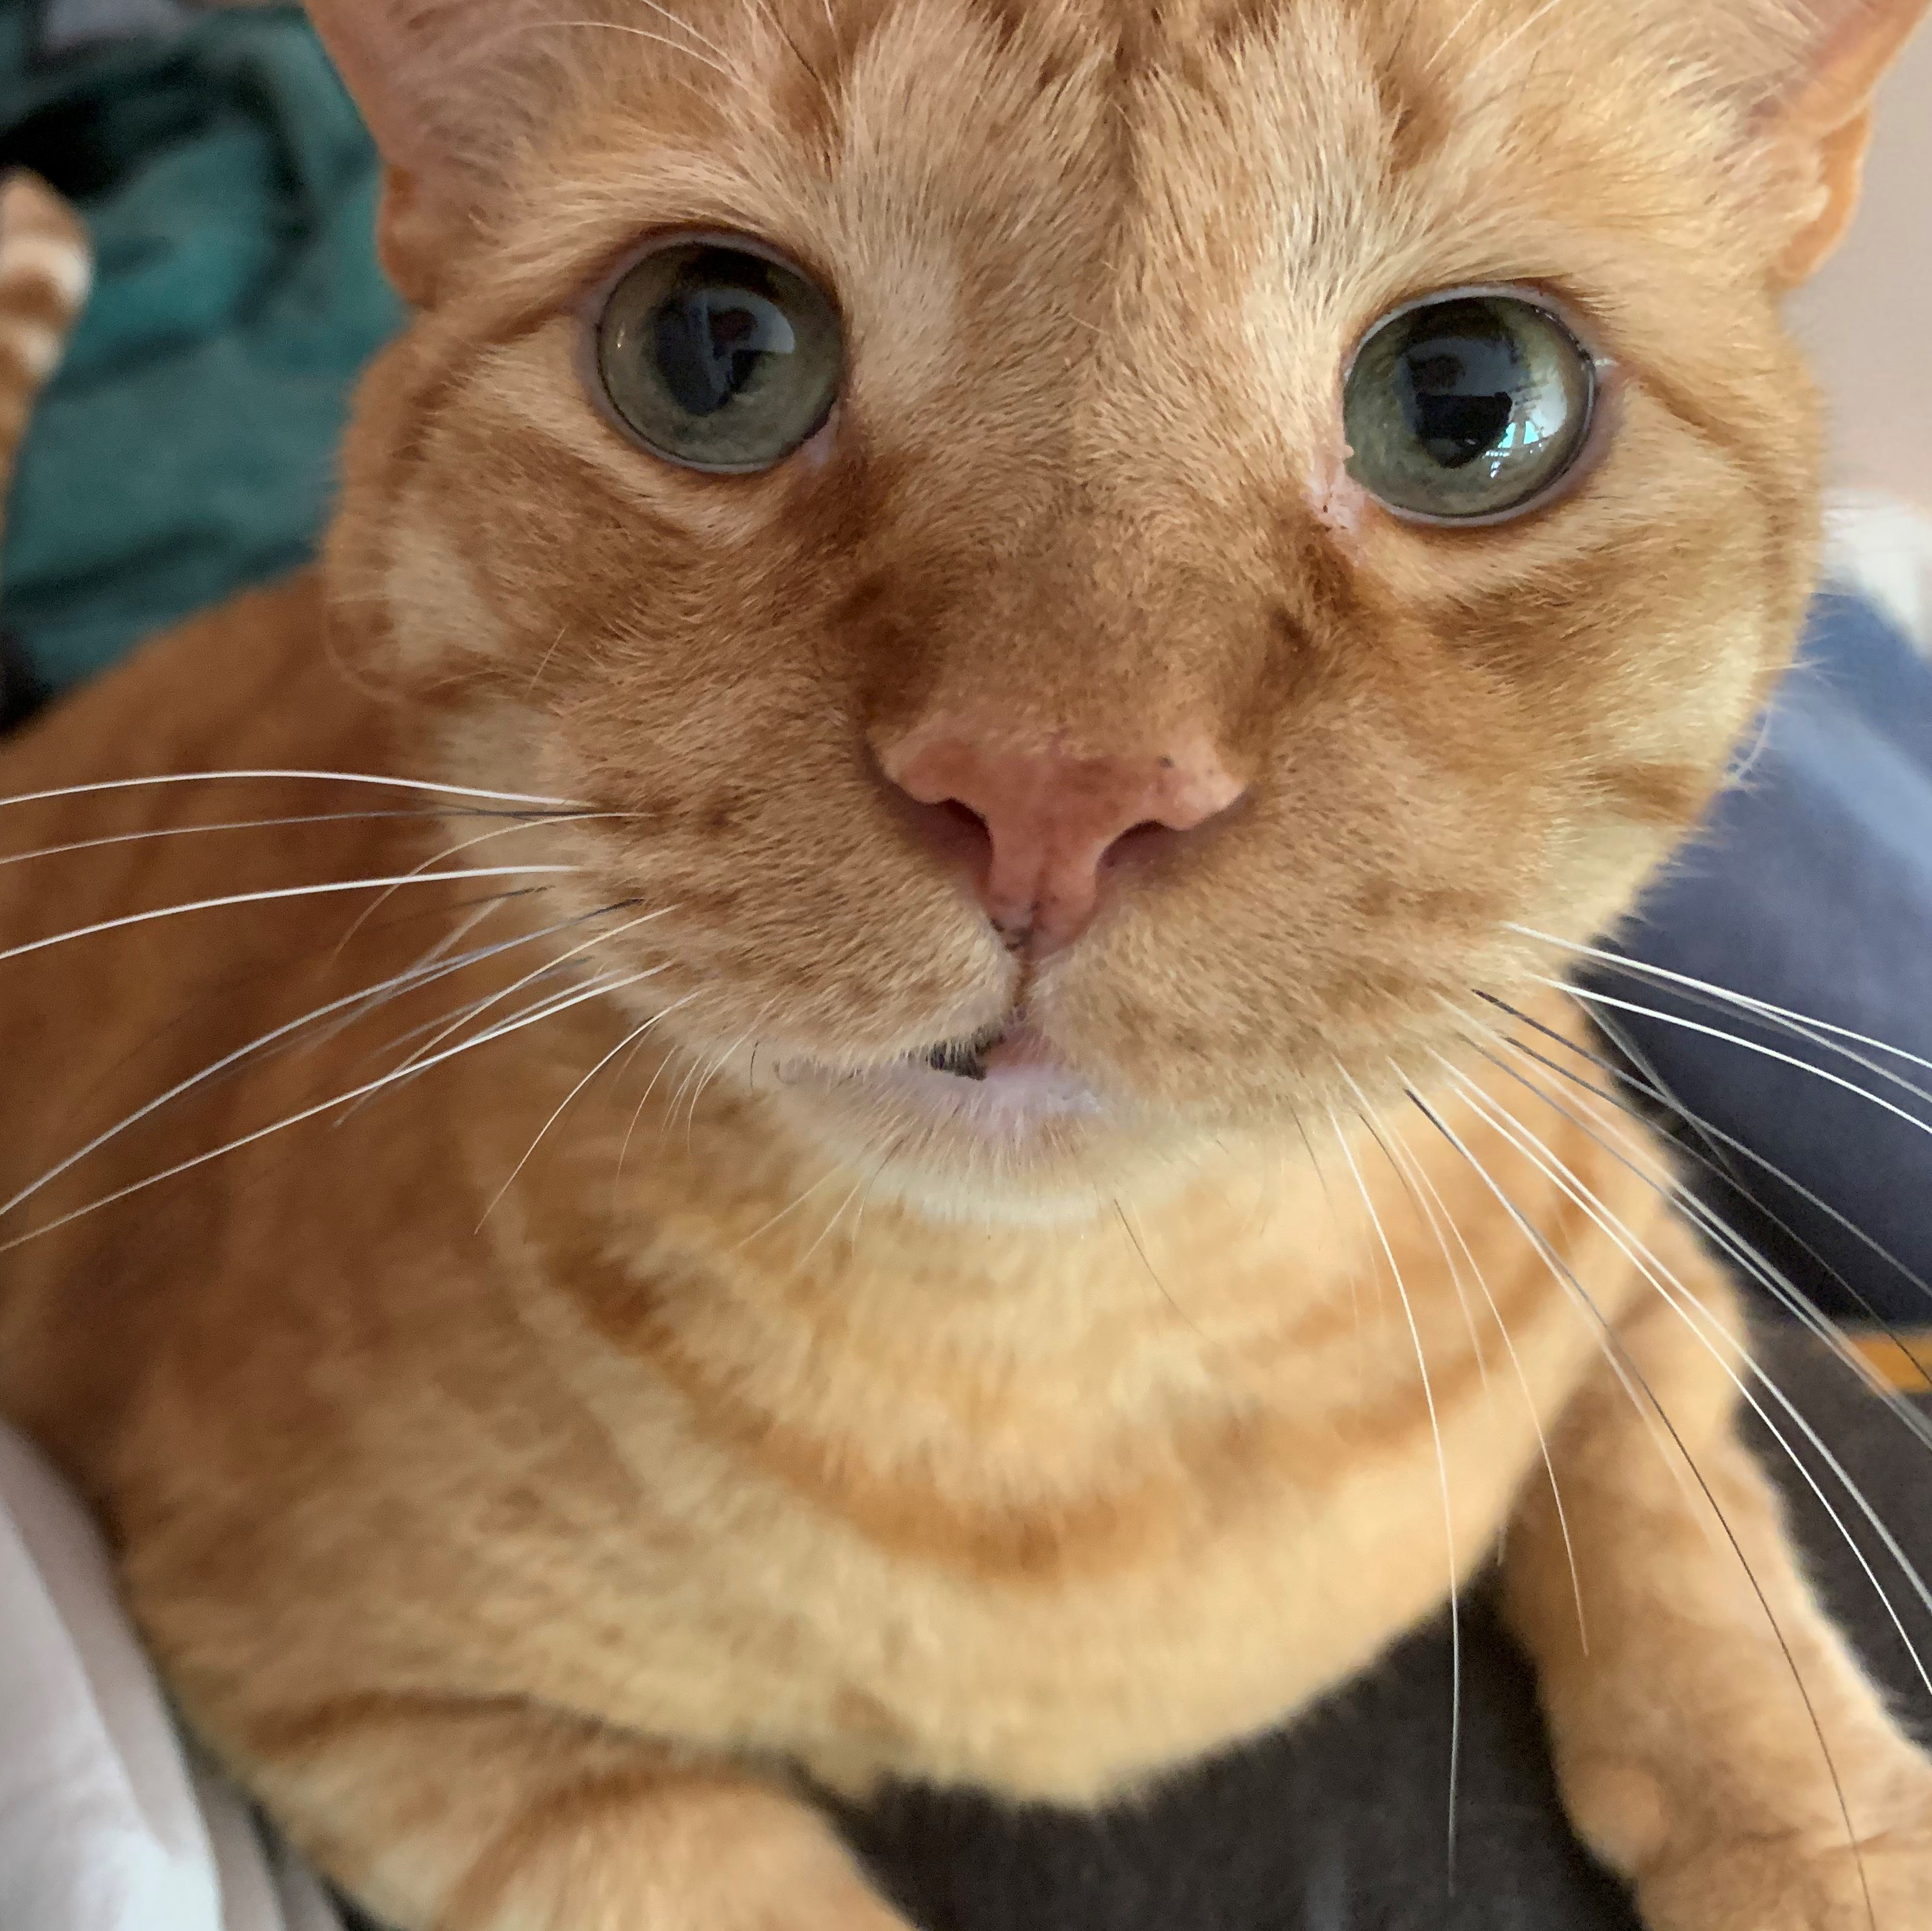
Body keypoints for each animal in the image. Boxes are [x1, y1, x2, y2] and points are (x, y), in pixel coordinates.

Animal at [3, 0, 1932, 1923]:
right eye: (710, 349)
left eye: (1467, 402)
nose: (1054, 789)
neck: (1059, 1385)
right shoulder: (363, 1687)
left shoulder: (1638, 1246)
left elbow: (1708, 1569)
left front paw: (1828, 1842)